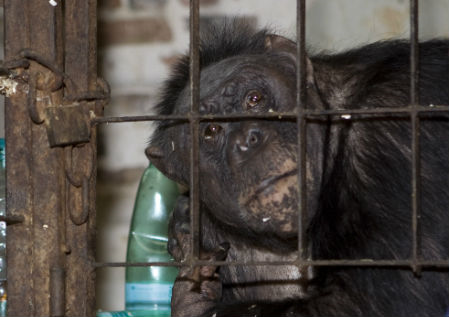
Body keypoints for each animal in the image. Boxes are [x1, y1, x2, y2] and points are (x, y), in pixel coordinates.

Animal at [146, 22, 448, 316]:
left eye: (254, 99)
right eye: (210, 131)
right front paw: (194, 282)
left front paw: (192, 297)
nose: (246, 140)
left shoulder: (394, 122)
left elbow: (380, 297)